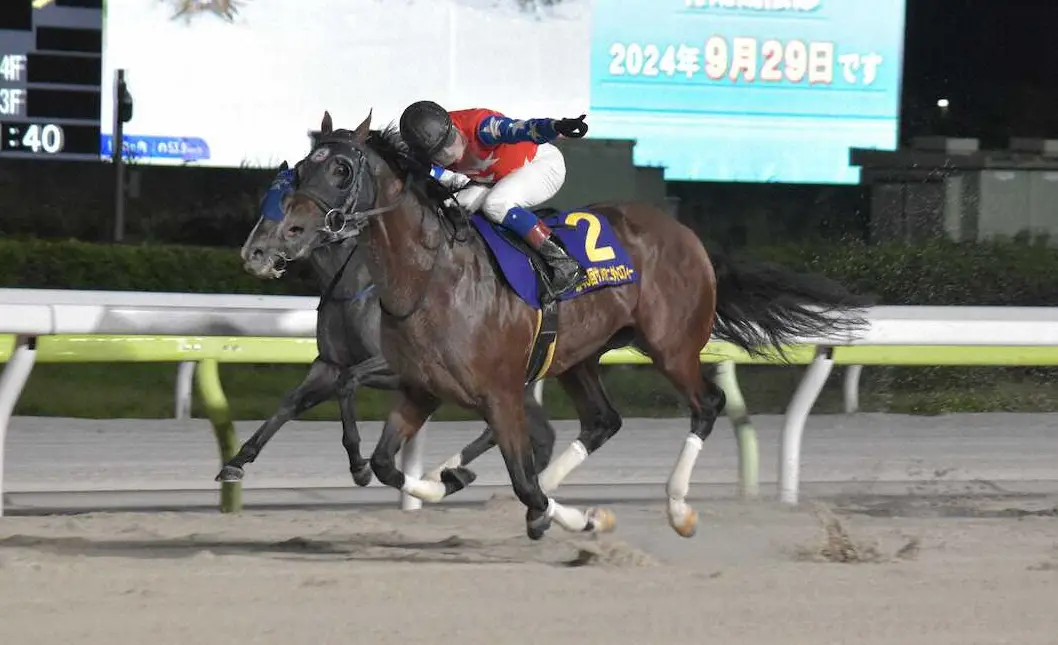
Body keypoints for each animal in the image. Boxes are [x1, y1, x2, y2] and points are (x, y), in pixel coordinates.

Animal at [211, 162, 554, 490]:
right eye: (268, 201)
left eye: (287, 207)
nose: (253, 254)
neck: (358, 287)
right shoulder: (328, 363)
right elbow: (291, 402)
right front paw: (236, 462)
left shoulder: (397, 367)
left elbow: (348, 382)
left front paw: (359, 465)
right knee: (536, 433)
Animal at [266, 111, 867, 537]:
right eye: (300, 167)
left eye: (341, 170)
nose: (290, 231)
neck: (430, 278)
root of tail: (689, 237)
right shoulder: (421, 388)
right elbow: (388, 463)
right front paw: (445, 481)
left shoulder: (500, 393)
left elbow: (522, 481)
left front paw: (583, 518)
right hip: (578, 357)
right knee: (601, 422)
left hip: (671, 347)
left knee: (707, 405)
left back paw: (677, 508)